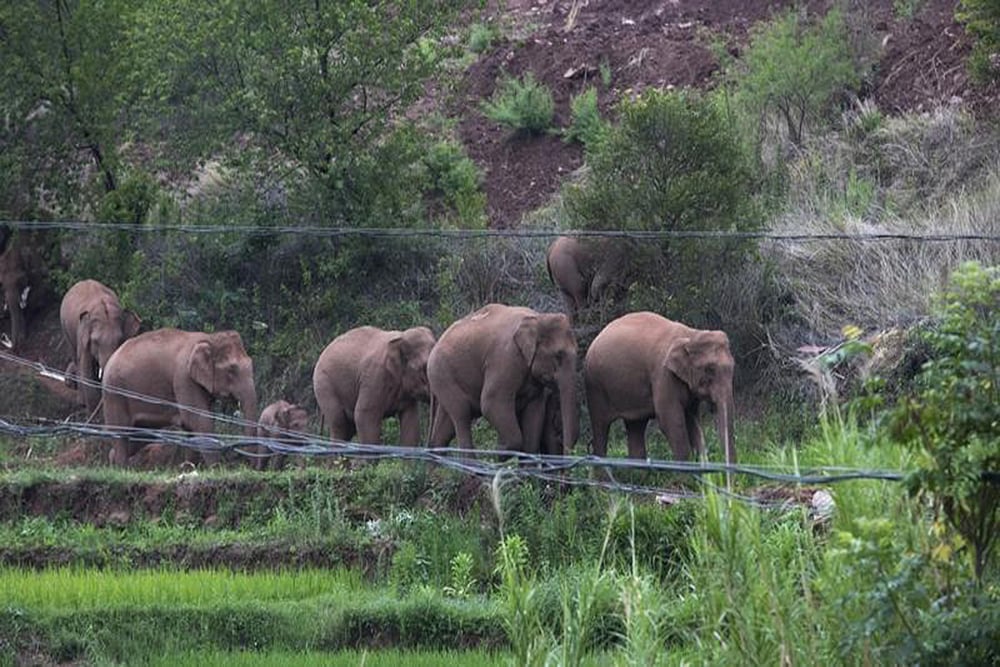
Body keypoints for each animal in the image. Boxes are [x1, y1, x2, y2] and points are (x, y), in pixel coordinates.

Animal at [59, 279, 142, 415]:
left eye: (119, 340)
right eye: (95, 341)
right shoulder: (83, 335)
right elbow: (86, 367)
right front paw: (94, 413)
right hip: (65, 327)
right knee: (76, 357)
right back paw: (81, 402)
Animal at [101, 328, 258, 467]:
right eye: (232, 370)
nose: (250, 466)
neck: (209, 338)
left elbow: (192, 426)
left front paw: (190, 468)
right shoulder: (183, 377)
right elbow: (198, 420)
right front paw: (217, 468)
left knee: (139, 436)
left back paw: (113, 460)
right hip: (115, 393)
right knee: (121, 433)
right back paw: (121, 467)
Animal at [428, 303, 579, 455]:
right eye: (558, 355)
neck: (538, 318)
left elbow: (534, 412)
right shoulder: (506, 357)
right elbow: (491, 402)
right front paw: (500, 450)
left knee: (444, 429)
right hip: (441, 374)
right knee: (462, 414)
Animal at [584, 311, 736, 465]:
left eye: (733, 367)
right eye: (710, 369)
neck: (691, 335)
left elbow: (691, 419)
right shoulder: (663, 375)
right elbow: (669, 420)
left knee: (635, 426)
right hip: (595, 386)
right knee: (600, 427)